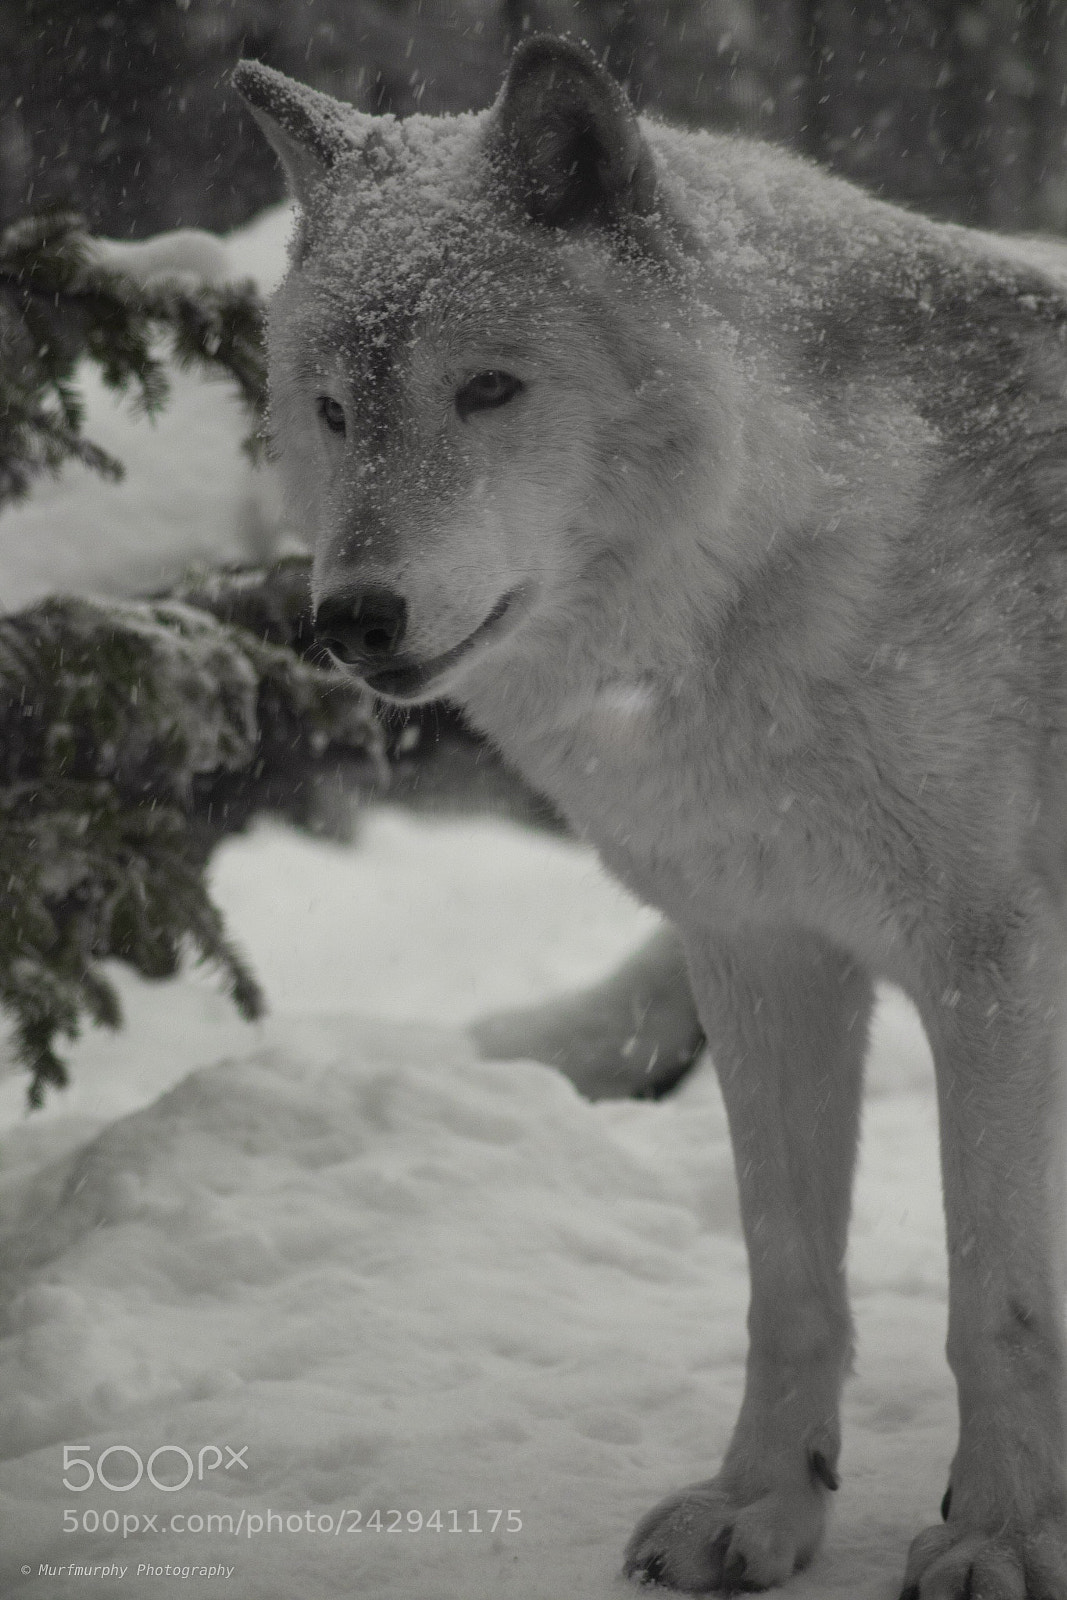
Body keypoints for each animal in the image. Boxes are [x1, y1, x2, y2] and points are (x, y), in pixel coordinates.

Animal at [234, 37, 1067, 1597]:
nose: (351, 617)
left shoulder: (990, 972)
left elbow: (993, 1297)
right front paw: (760, 1508)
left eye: (487, 389)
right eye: (332, 411)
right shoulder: (759, 956)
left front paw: (998, 1534)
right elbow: (785, 1277)